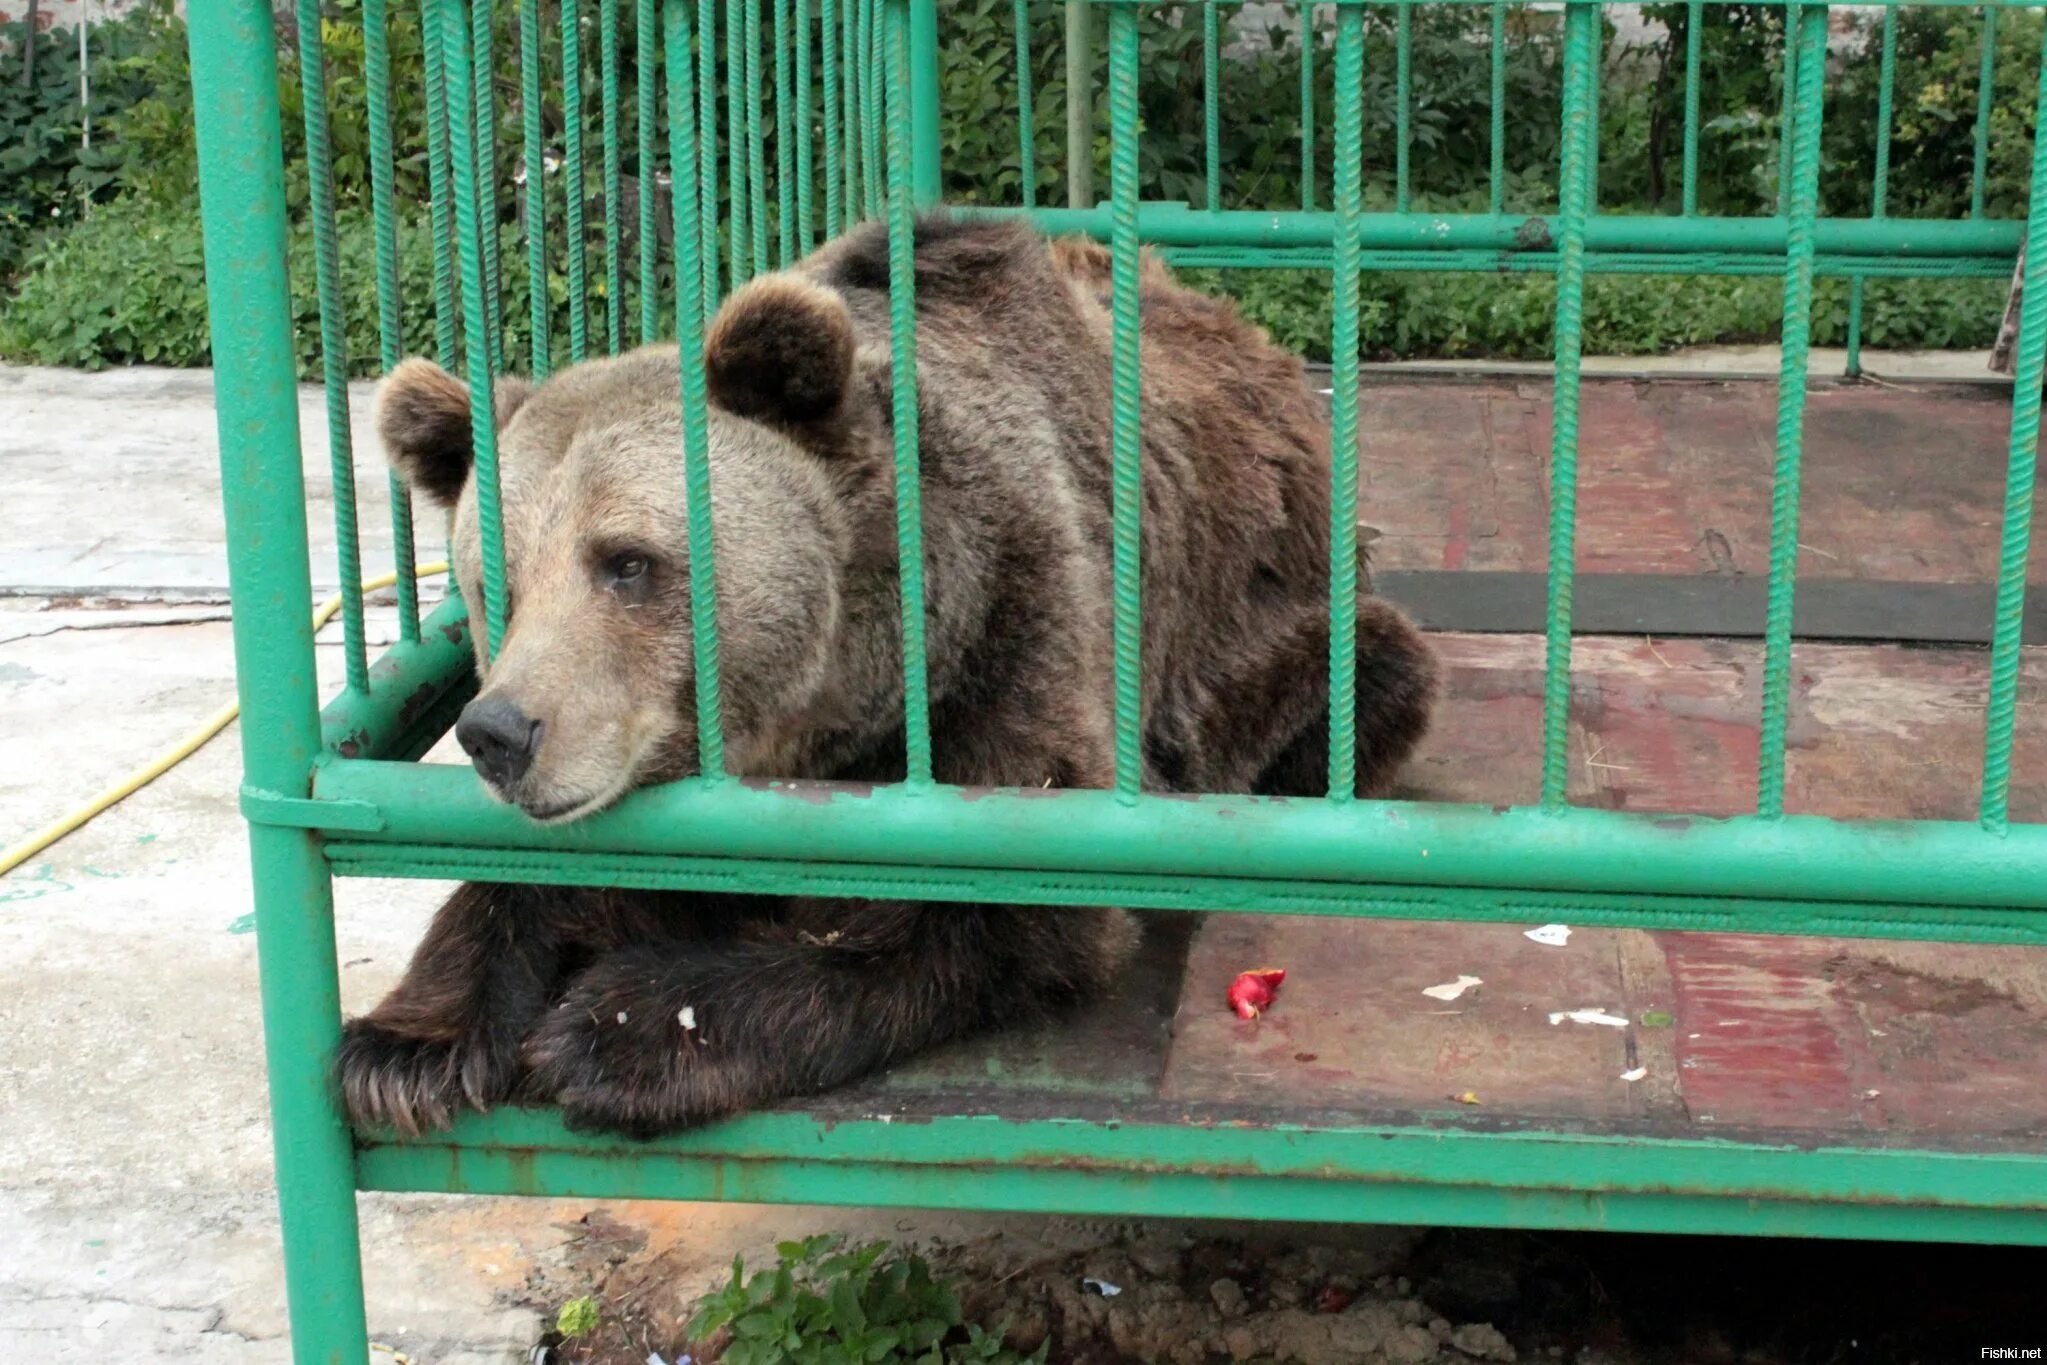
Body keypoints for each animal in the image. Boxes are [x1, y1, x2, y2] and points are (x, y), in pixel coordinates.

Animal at [339, 218, 1441, 1146]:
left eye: (627, 562)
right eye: (495, 582)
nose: (500, 733)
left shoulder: (1014, 629)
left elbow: (996, 912)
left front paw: (621, 1024)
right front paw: (404, 1046)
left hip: (1268, 644)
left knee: (1362, 683)